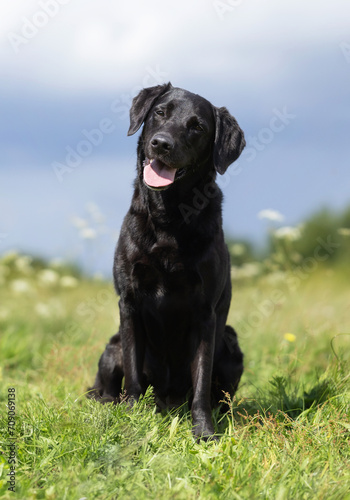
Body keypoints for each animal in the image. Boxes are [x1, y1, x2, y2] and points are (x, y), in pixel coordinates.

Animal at [89, 84, 245, 440]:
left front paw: (204, 431)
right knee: (107, 387)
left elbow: (201, 383)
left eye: (197, 126)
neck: (168, 217)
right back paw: (107, 405)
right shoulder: (129, 303)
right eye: (160, 112)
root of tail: (167, 402)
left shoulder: (205, 314)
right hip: (112, 346)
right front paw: (131, 420)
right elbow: (133, 376)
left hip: (230, 342)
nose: (161, 143)